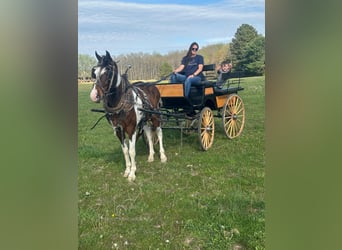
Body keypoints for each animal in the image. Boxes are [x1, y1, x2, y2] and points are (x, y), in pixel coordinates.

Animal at [89, 50, 167, 182]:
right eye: (94, 72)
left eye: (108, 71)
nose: (94, 95)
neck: (121, 103)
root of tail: (151, 85)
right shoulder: (118, 129)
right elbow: (125, 150)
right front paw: (127, 170)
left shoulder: (131, 129)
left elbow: (132, 151)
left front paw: (132, 173)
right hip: (144, 120)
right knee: (149, 134)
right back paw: (151, 155)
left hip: (155, 116)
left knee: (159, 133)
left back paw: (162, 156)